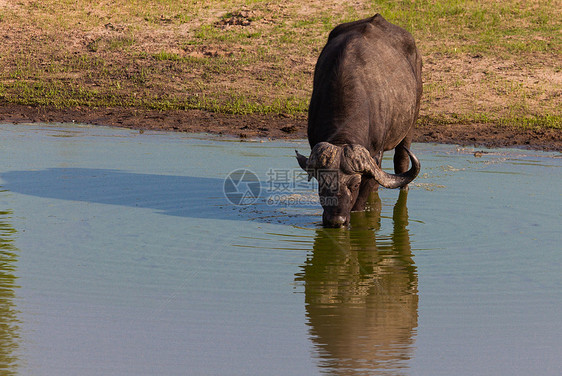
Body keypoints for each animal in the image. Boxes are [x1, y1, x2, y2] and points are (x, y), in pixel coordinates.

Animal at [294, 13, 420, 226]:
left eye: (353, 185)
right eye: (322, 185)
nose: (336, 221)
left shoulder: (374, 157)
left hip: (410, 125)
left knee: (401, 162)